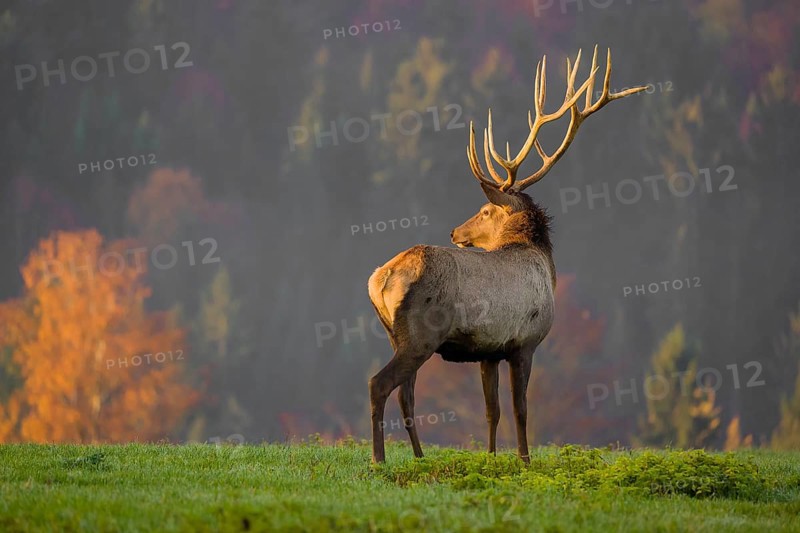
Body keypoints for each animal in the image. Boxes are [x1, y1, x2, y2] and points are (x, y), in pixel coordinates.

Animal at [367, 46, 645, 463]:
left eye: (484, 211)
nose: (455, 231)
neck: (544, 265)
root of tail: (382, 278)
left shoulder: (488, 351)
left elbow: (491, 409)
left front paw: (492, 456)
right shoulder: (524, 342)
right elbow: (521, 408)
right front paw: (525, 460)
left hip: (394, 335)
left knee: (407, 395)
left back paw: (418, 456)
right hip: (420, 335)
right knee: (379, 384)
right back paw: (379, 458)